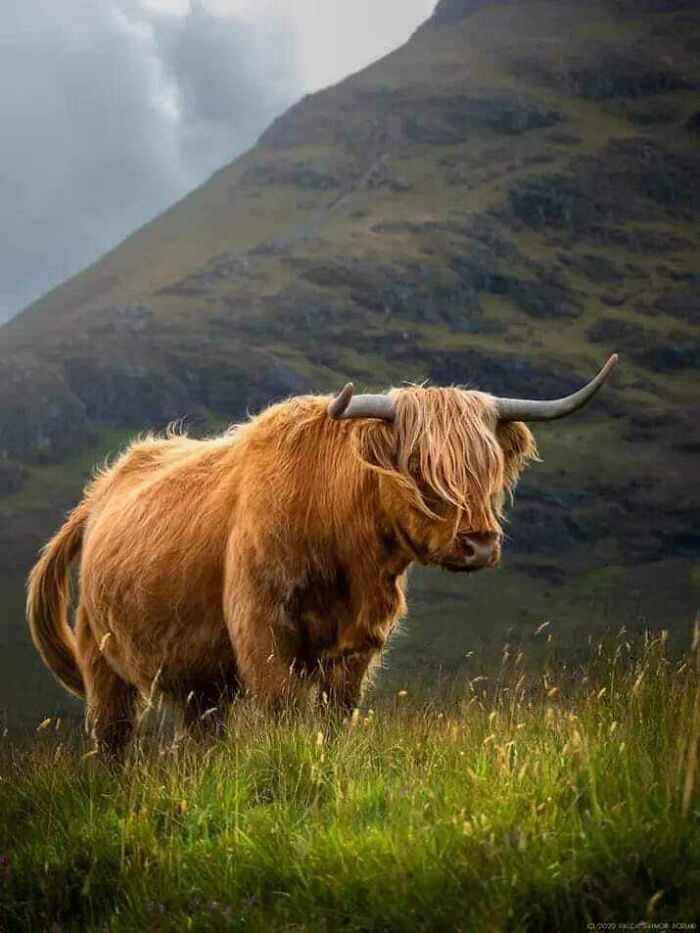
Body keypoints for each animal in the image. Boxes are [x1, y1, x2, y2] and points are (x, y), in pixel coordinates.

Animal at [27, 355, 617, 759]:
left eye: (490, 467)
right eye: (418, 467)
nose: (479, 544)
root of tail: (100, 492)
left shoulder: (359, 642)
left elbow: (336, 713)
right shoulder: (262, 631)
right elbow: (284, 709)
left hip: (195, 673)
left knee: (202, 731)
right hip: (101, 656)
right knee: (112, 735)